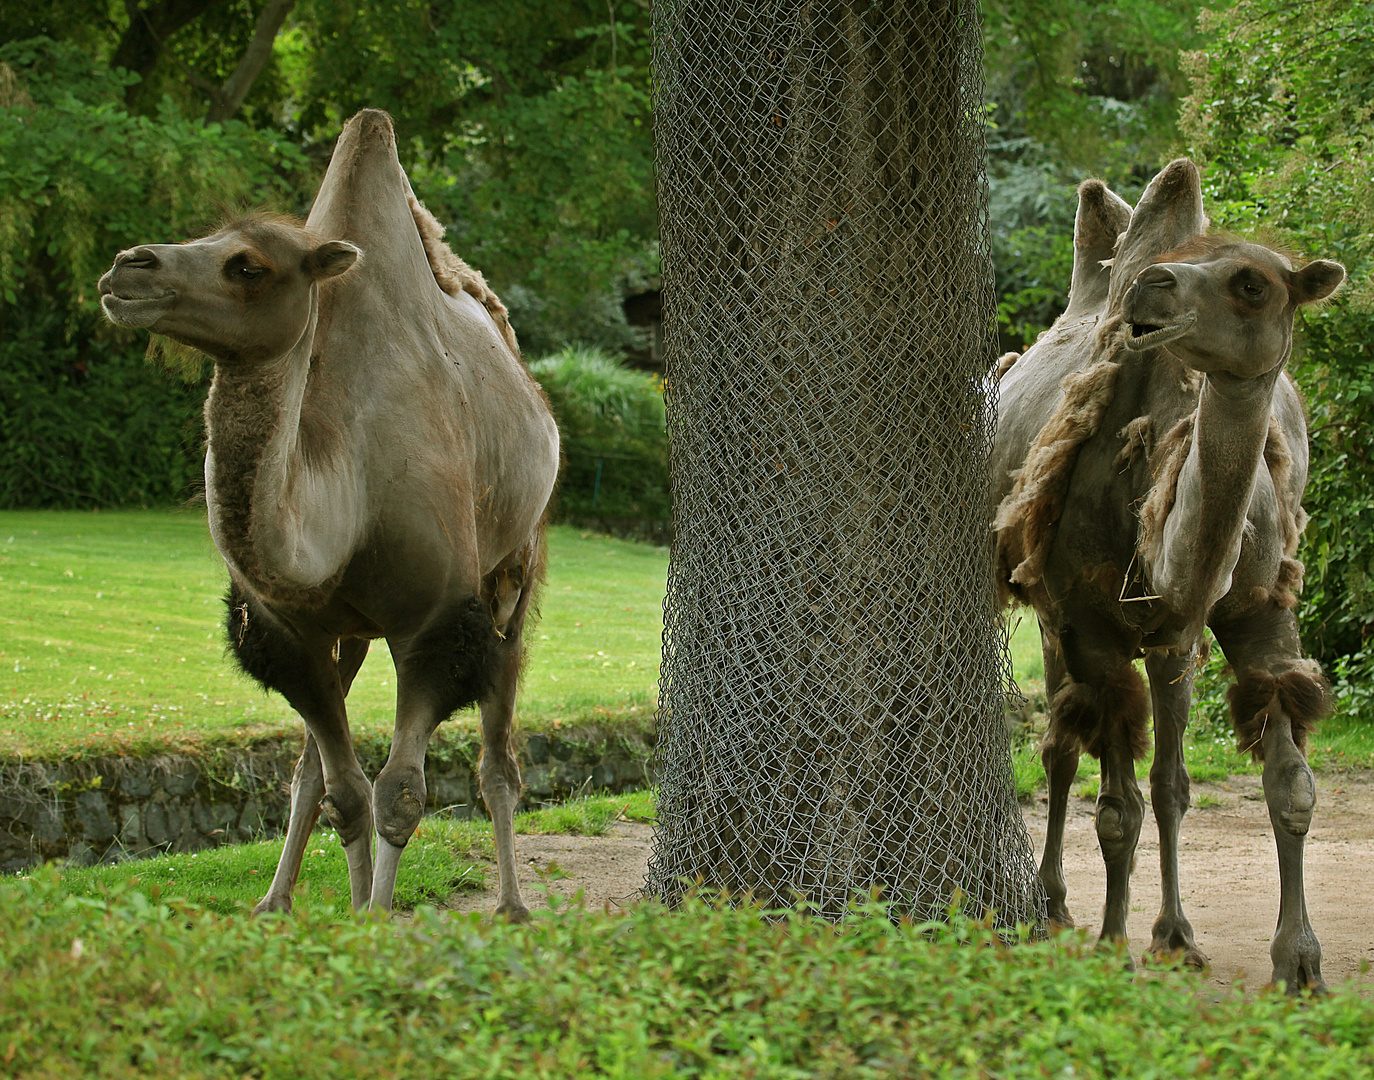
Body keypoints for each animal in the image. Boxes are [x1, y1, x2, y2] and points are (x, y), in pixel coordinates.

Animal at [96, 109, 560, 917]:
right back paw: (275, 900)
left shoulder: (434, 623)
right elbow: (341, 791)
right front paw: (343, 911)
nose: (128, 265)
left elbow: (399, 792)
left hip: (513, 573)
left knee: (498, 750)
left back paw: (511, 903)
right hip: (350, 633)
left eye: (248, 265)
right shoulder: (289, 635)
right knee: (313, 772)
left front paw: (374, 917)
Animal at [994, 155, 1346, 989]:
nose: (1151, 286)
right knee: (1061, 748)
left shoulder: (1252, 612)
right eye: (1186, 260)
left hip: (1169, 638)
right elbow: (1114, 806)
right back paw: (1056, 907)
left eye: (1253, 282)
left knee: (1166, 779)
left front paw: (1299, 962)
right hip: (1050, 608)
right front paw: (1111, 942)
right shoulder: (1091, 622)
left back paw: (1173, 930)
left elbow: (1288, 787)